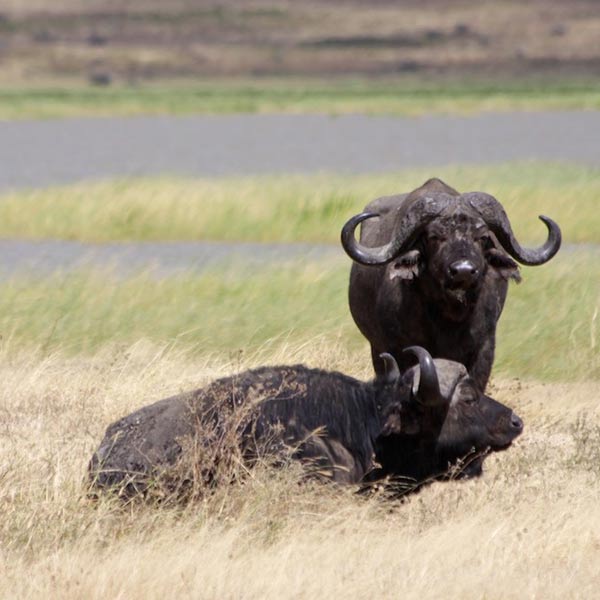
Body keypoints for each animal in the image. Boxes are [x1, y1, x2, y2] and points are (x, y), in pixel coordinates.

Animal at [341, 178, 561, 390]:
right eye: (435, 237)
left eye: (482, 237)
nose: (463, 271)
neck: (449, 318)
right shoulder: (398, 350)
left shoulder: (484, 349)